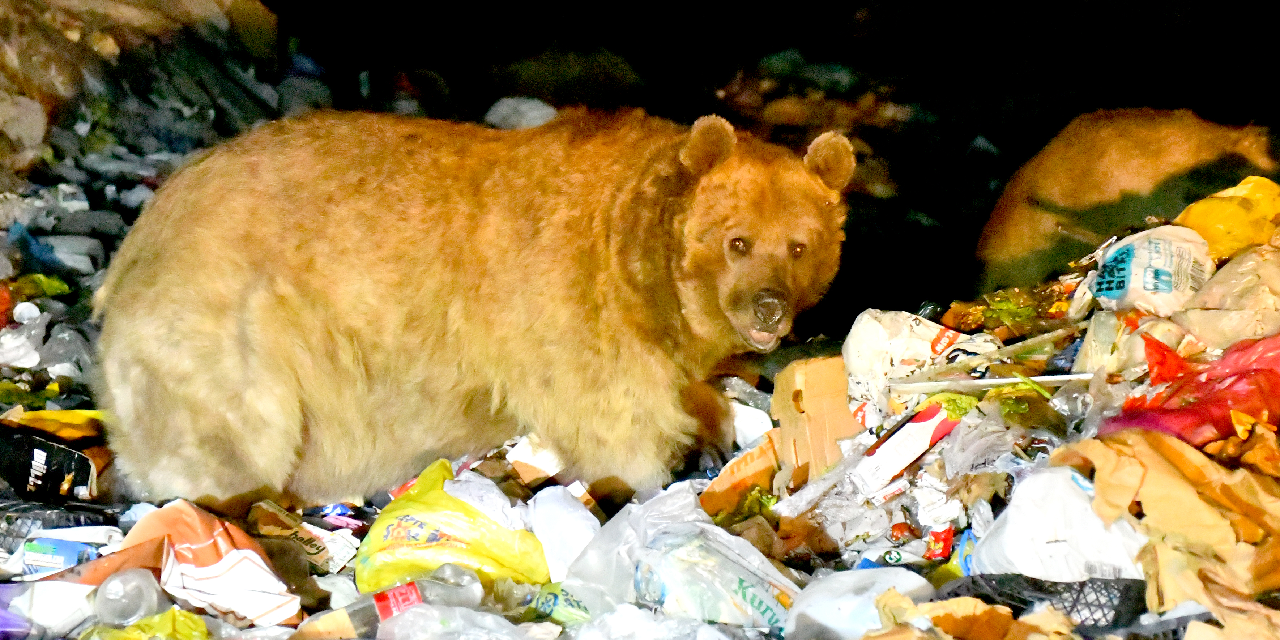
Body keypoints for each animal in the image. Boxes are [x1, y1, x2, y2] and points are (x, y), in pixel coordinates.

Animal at [90, 110, 849, 509]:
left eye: (800, 244)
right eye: (737, 240)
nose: (770, 307)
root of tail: (139, 235)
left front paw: (717, 427)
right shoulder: (568, 302)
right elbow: (613, 415)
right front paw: (649, 478)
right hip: (230, 314)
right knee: (233, 424)